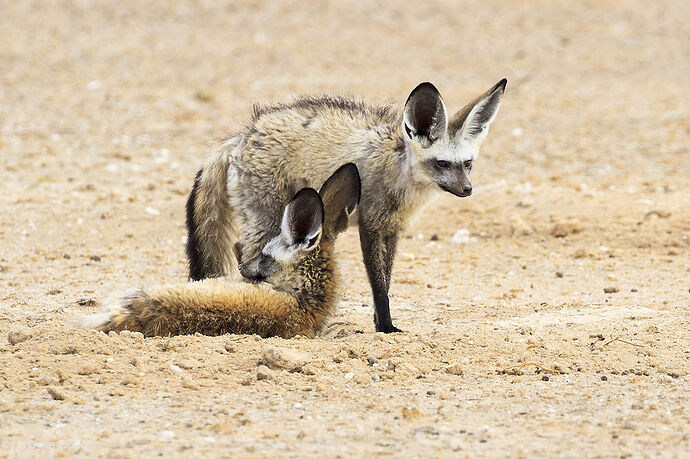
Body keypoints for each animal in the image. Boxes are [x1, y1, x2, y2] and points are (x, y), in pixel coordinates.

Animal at [187, 80, 506, 334]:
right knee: (244, 252)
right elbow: (379, 285)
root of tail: (242, 136)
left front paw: (381, 323)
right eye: (441, 163)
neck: (400, 176)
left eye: (467, 164)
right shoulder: (371, 225)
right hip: (268, 217)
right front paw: (386, 327)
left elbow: (387, 279)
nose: (467, 190)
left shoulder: (392, 229)